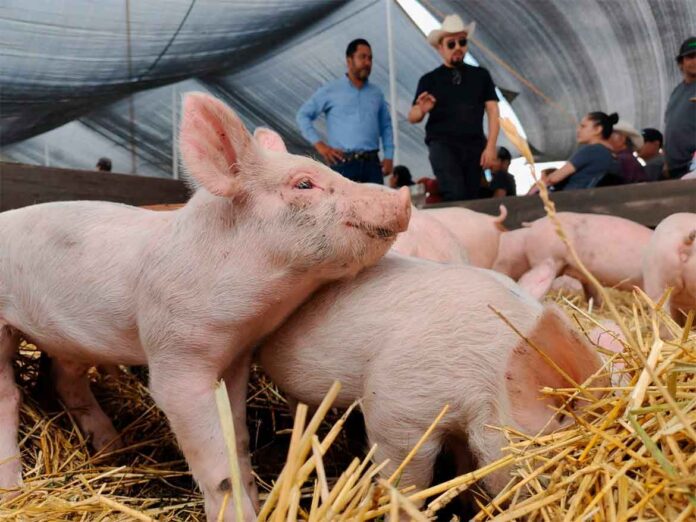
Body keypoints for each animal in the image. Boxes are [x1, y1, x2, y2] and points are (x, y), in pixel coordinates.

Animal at [0, 93, 411, 520]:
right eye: (303, 183)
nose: (400, 196)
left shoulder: (236, 358)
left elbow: (238, 440)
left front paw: (255, 499)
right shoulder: (175, 355)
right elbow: (216, 463)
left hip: (72, 337)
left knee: (65, 379)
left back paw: (113, 450)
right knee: (8, 396)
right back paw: (13, 491)